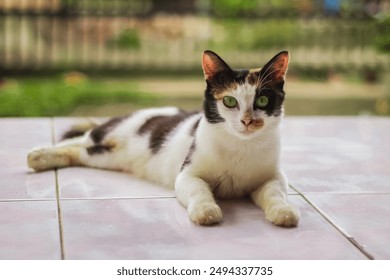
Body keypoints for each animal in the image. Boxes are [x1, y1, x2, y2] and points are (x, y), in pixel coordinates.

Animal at [27, 50, 300, 228]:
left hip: (104, 158)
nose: (247, 121)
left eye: (262, 100)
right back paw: (36, 154)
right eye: (230, 101)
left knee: (78, 151)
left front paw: (284, 211)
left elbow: (275, 193)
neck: (239, 146)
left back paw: (41, 159)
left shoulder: (274, 177)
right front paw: (206, 210)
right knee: (80, 138)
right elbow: (199, 190)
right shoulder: (187, 174)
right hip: (111, 132)